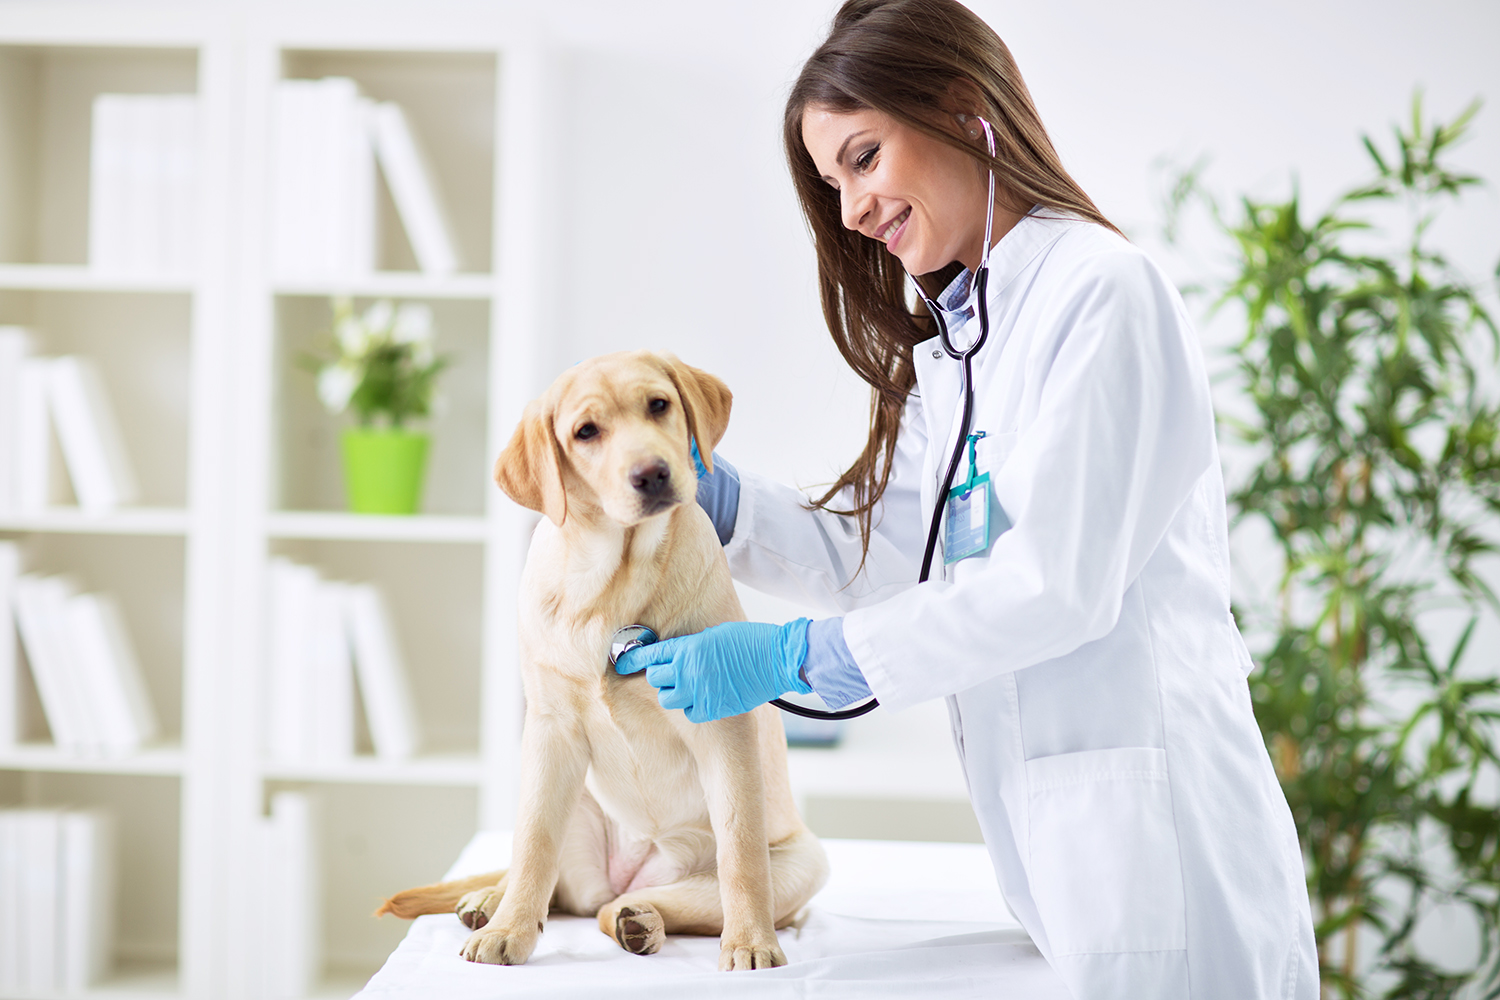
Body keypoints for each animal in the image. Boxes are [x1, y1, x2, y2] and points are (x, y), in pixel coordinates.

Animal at [370, 350, 828, 971]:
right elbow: (534, 843)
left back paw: (640, 921)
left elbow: (741, 856)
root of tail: (626, 876)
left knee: (626, 906)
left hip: (804, 862)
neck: (613, 581)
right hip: (575, 798)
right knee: (551, 881)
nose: (652, 473)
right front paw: (509, 929)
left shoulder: (724, 729)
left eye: (658, 405)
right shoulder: (551, 727)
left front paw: (752, 942)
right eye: (586, 432)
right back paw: (491, 902)